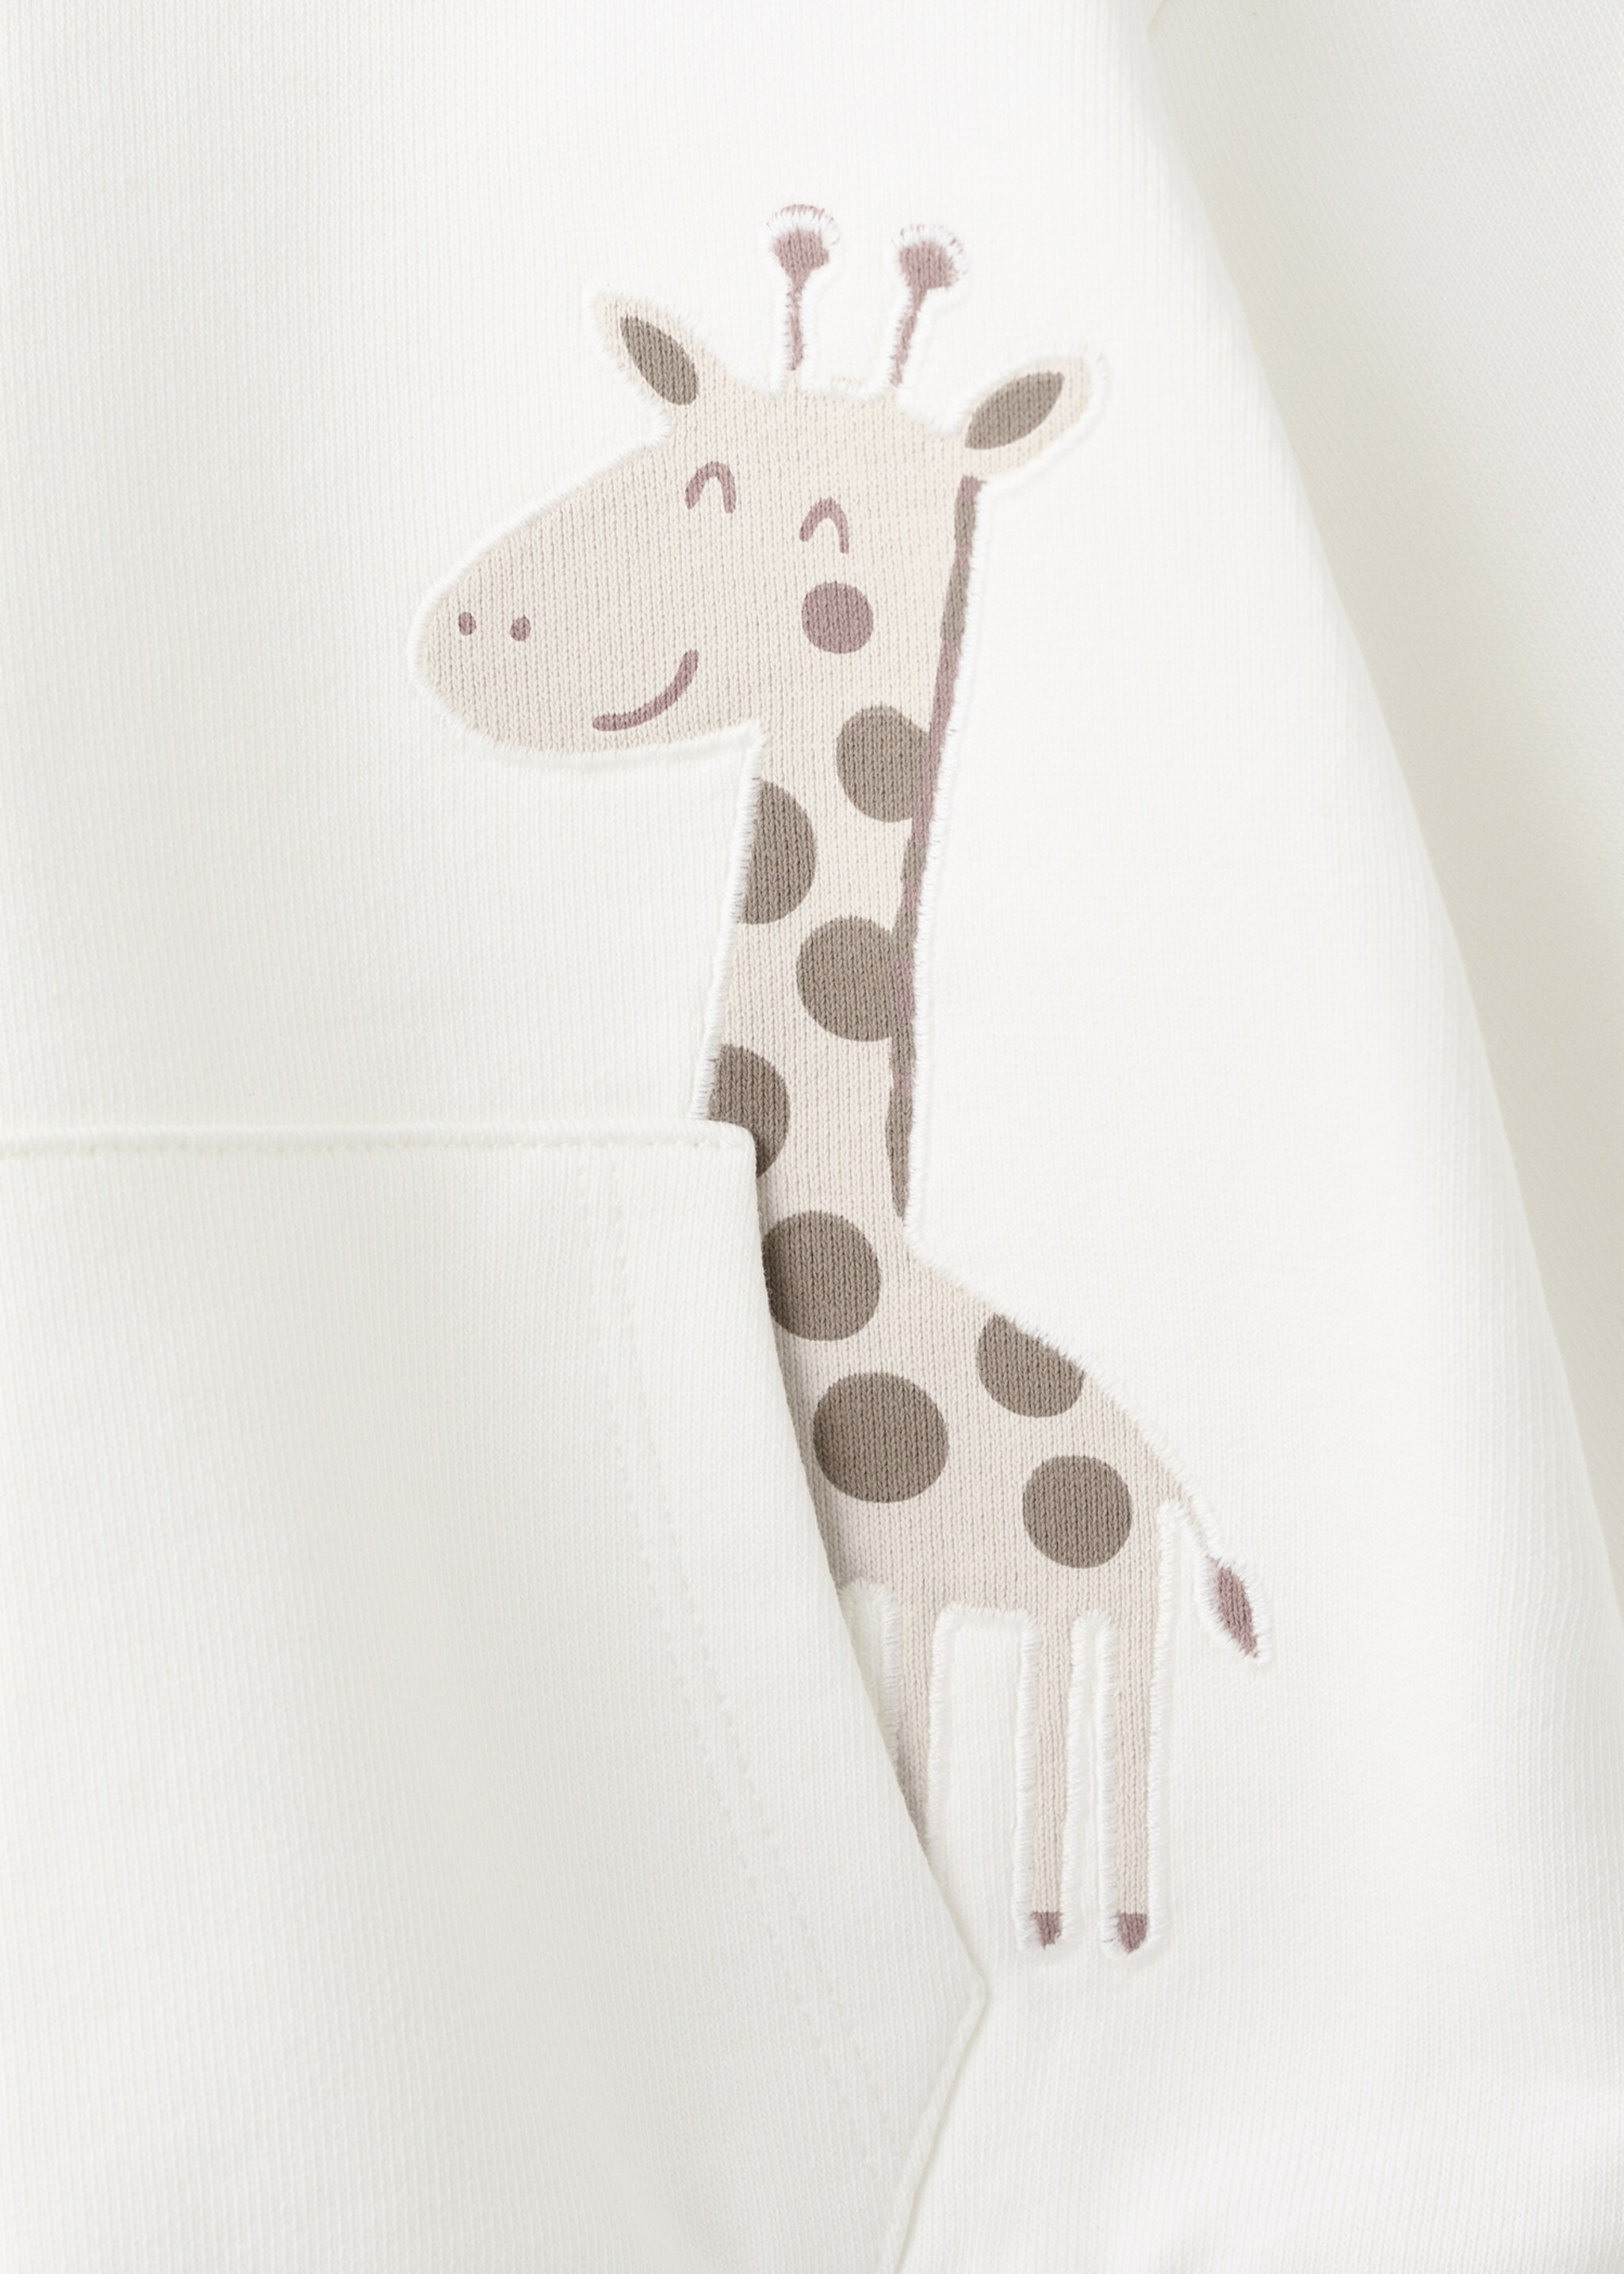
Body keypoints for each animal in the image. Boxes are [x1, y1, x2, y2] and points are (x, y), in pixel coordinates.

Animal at [415, 210, 1261, 1954]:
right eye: (677, 450)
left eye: (788, 514)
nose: (470, 629)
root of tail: (1164, 1480)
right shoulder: (890, 1593)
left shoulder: (893, 1584)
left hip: (1104, 1600)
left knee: (1105, 1733)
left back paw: (1093, 1924)